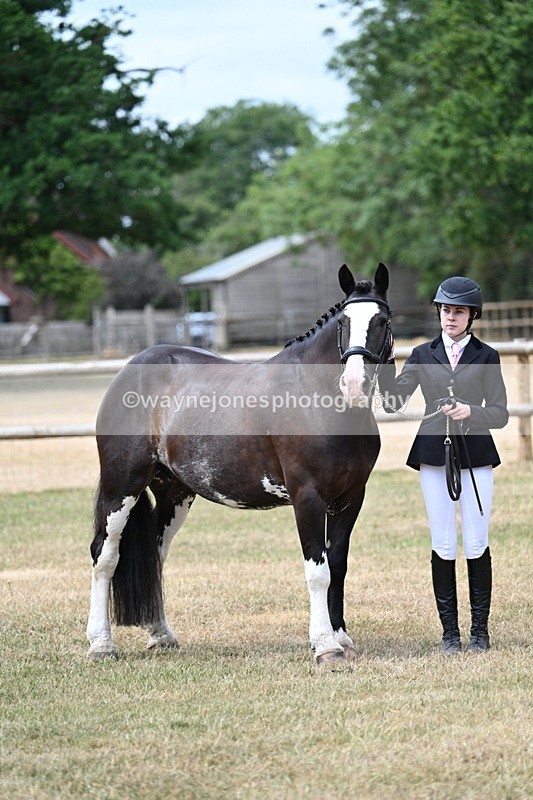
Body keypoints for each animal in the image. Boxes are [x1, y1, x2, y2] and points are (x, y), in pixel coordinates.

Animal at [87, 262, 393, 666]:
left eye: (383, 322)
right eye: (343, 322)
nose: (354, 384)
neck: (317, 399)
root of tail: (130, 370)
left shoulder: (350, 498)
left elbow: (338, 566)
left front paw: (341, 638)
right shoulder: (307, 498)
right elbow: (318, 571)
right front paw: (326, 647)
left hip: (173, 494)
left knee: (154, 555)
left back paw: (160, 635)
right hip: (121, 486)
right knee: (104, 555)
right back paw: (101, 645)